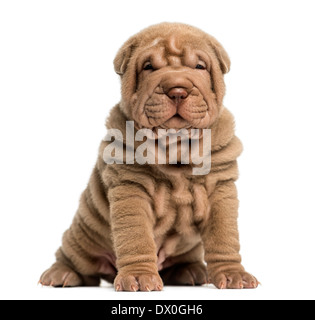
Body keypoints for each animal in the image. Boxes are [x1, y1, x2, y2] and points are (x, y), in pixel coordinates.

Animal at [39, 22, 260, 292]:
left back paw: (190, 271)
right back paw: (61, 274)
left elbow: (224, 235)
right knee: (74, 257)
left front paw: (233, 274)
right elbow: (136, 236)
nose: (177, 90)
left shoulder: (220, 187)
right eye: (148, 67)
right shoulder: (131, 188)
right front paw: (138, 277)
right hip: (83, 233)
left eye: (199, 66)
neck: (175, 146)